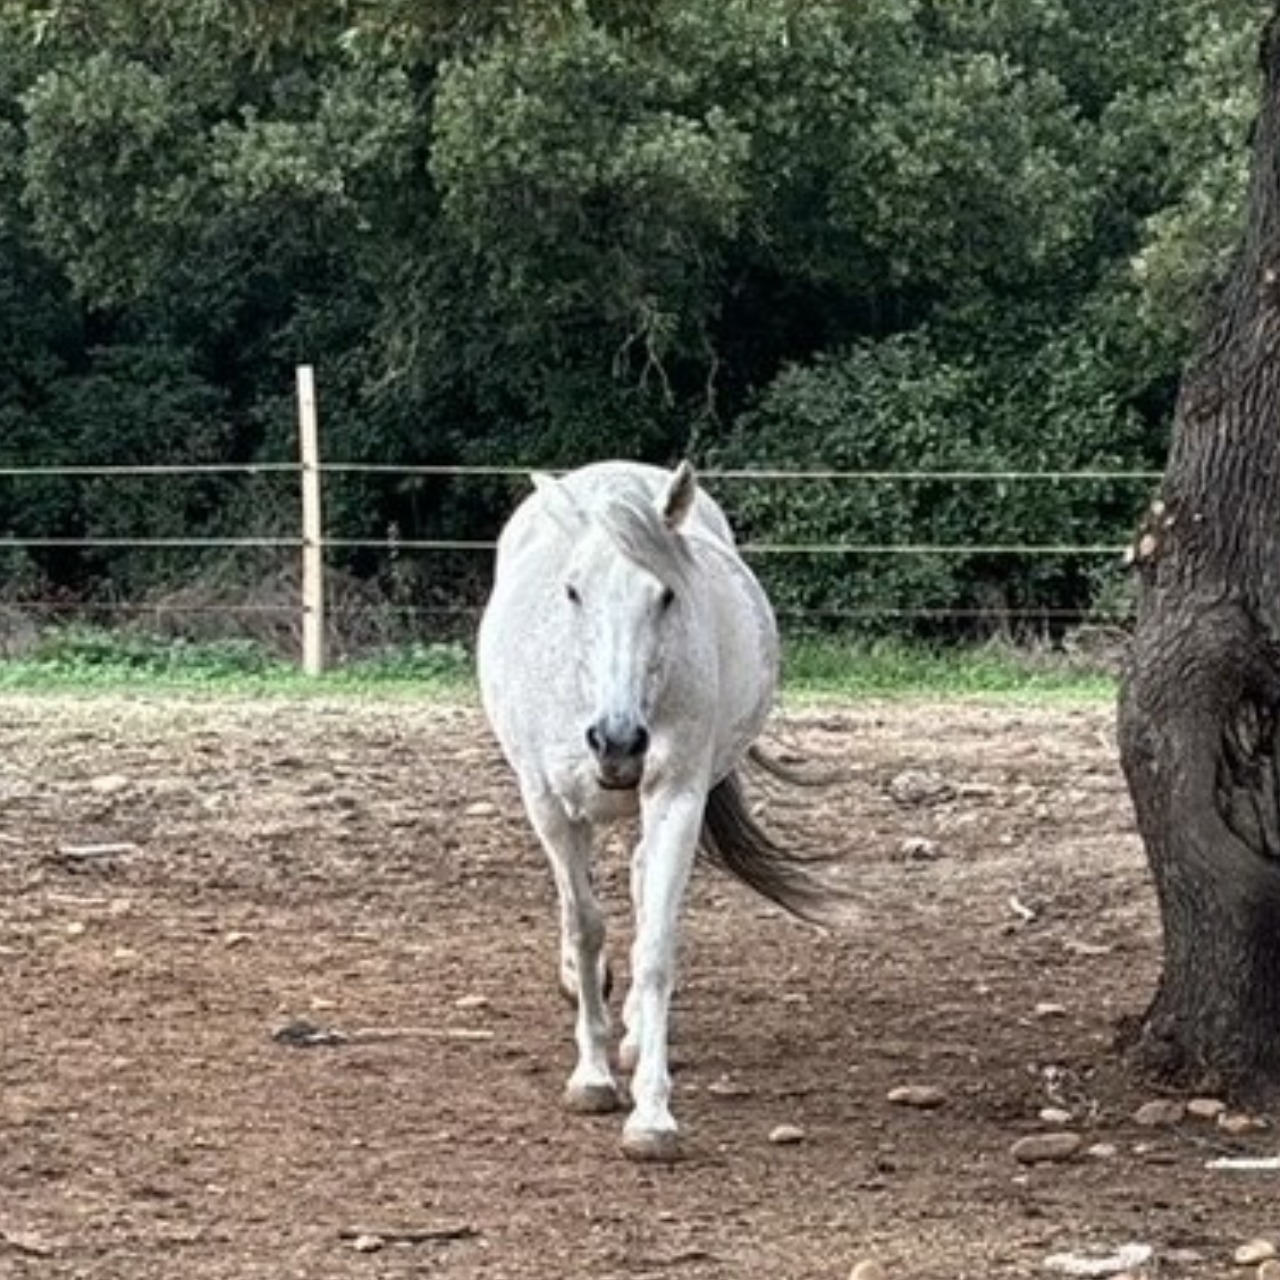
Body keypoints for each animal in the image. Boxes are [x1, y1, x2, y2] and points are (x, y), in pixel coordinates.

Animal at [476, 460, 824, 1162]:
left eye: (665, 595)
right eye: (573, 591)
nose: (617, 742)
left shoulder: (677, 795)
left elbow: (657, 943)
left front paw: (652, 1114)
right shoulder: (549, 807)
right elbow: (585, 928)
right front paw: (591, 1076)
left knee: (640, 881)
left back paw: (635, 1033)